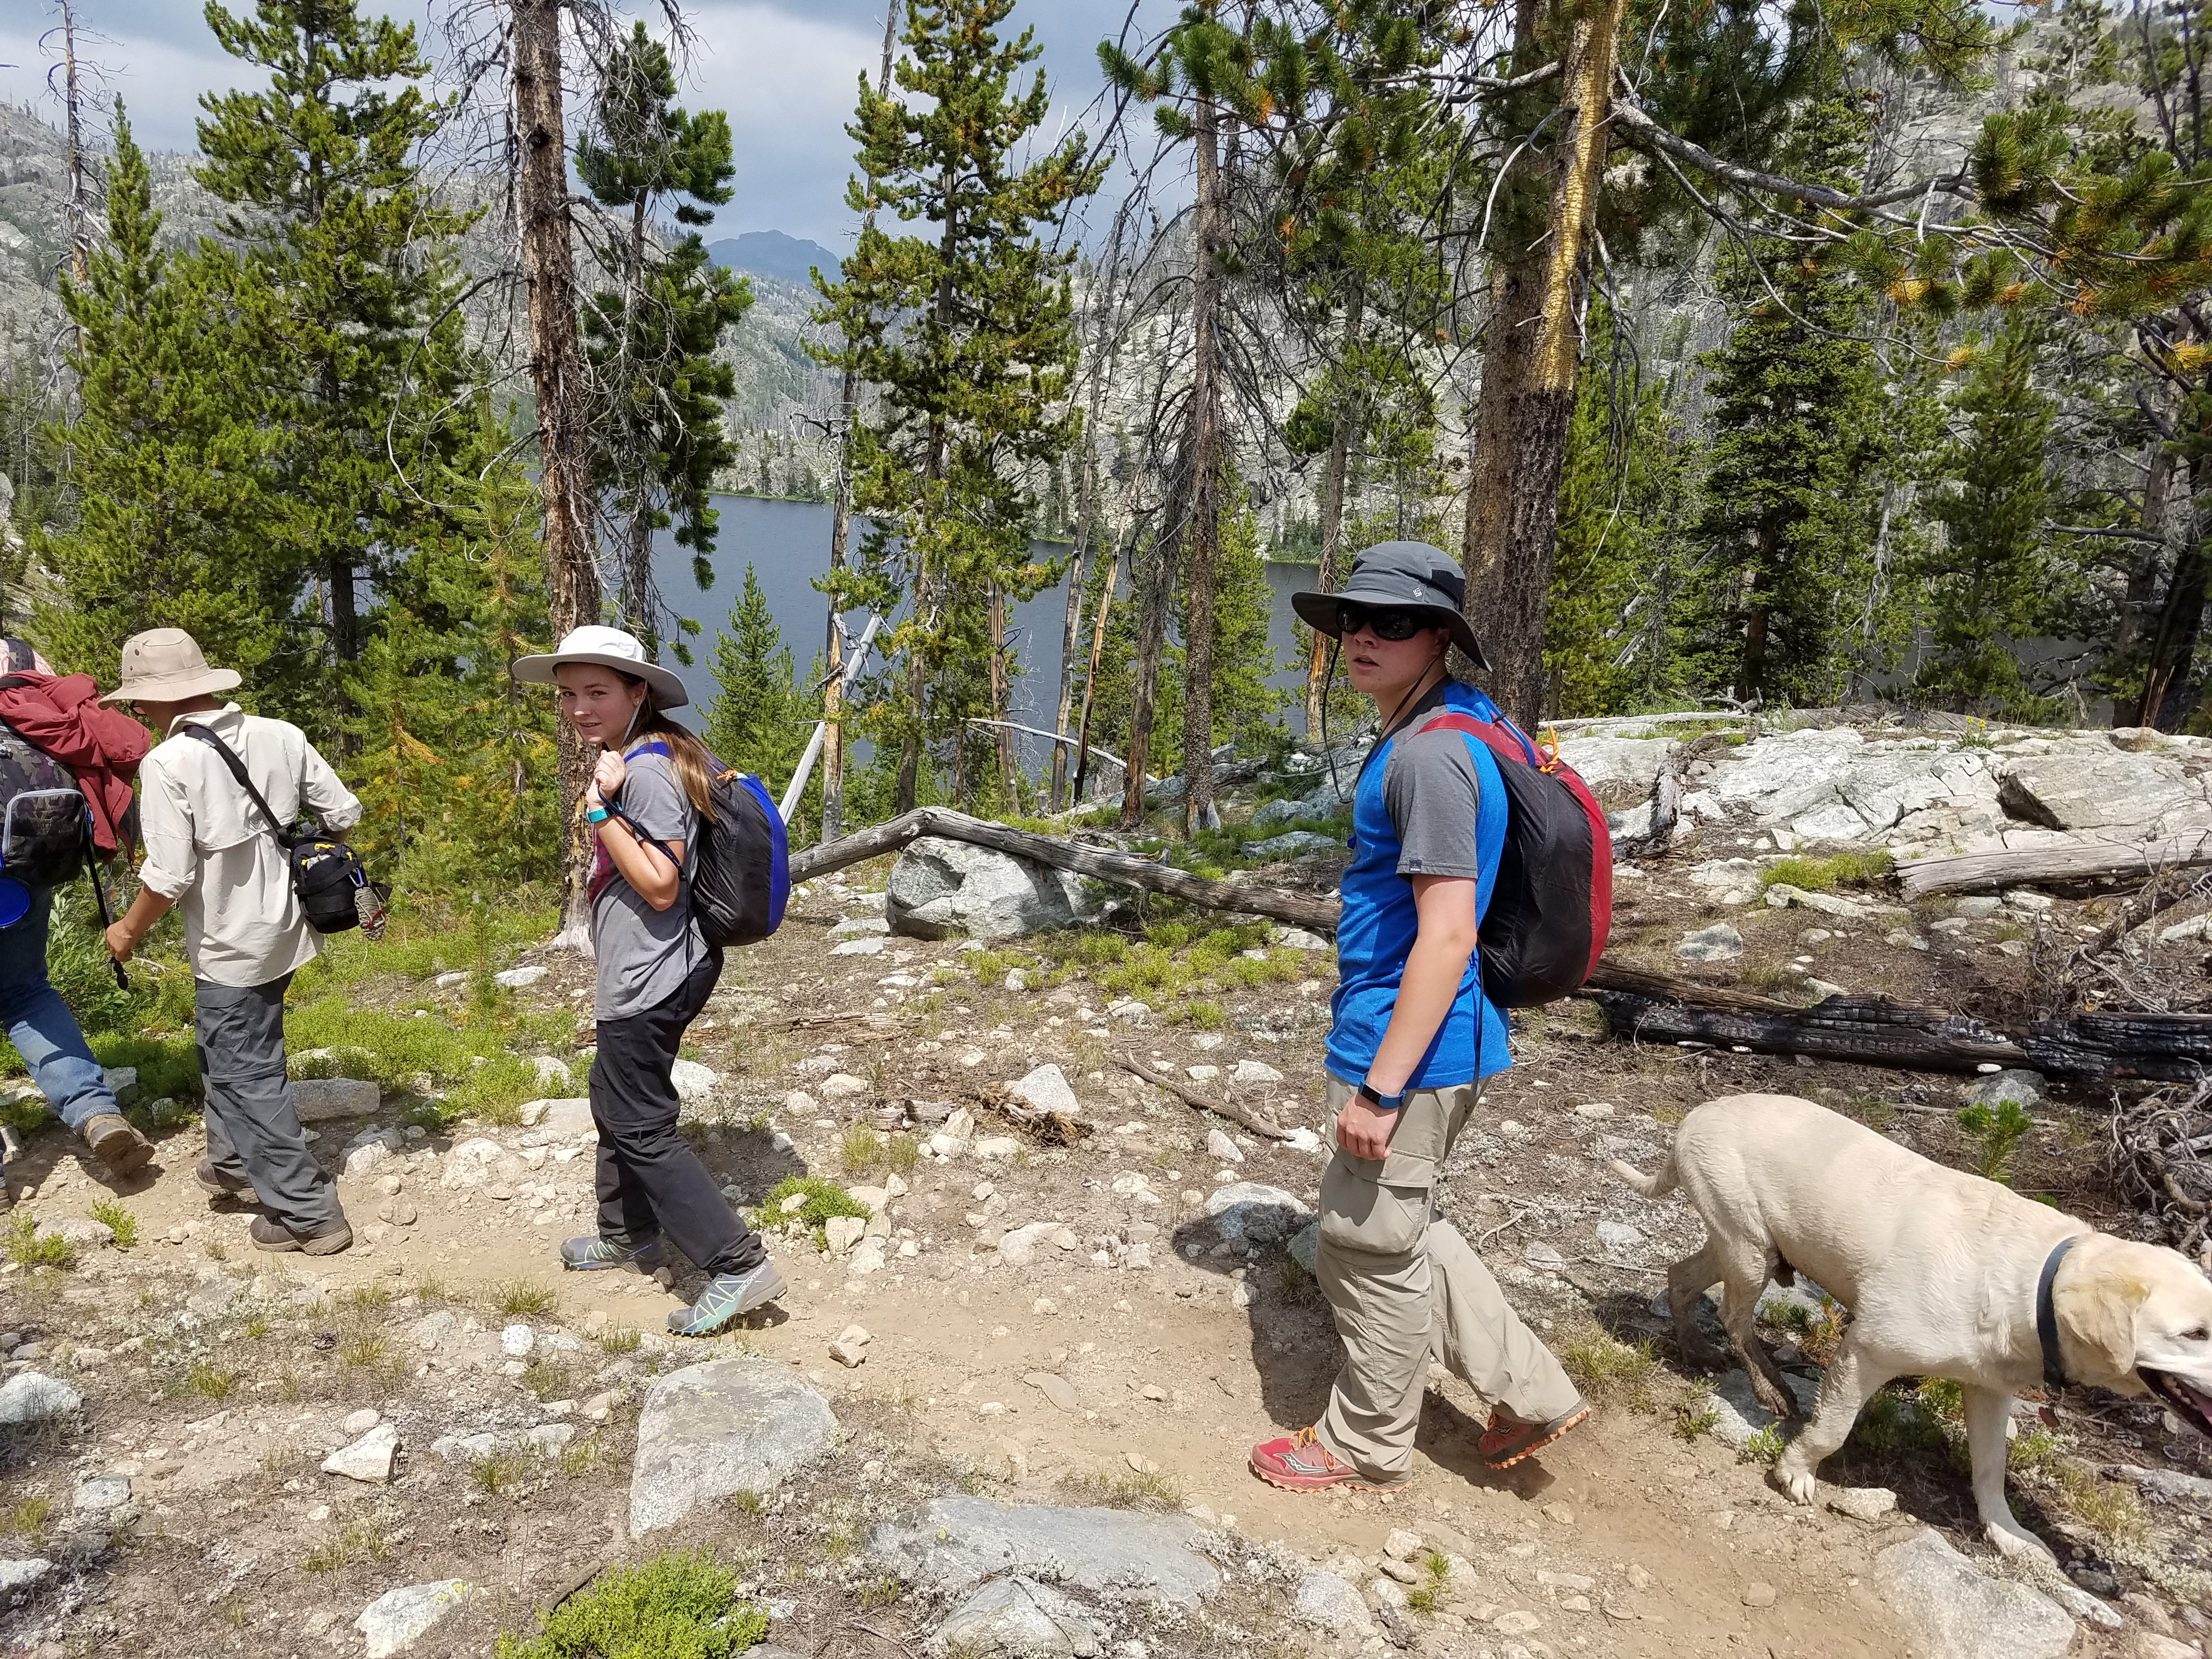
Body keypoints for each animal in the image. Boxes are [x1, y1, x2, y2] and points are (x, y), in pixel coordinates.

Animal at [1610, 1092, 2212, 1557]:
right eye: (2194, 1333)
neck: (2033, 1284)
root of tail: (1695, 1117)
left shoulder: (1990, 1390)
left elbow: (1990, 1468)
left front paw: (2009, 1533)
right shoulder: (1865, 1352)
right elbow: (1832, 1429)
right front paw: (1796, 1471)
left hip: (1745, 1246)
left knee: (1682, 1278)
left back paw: (1694, 1348)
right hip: (1749, 1249)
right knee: (1734, 1318)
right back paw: (1769, 1386)